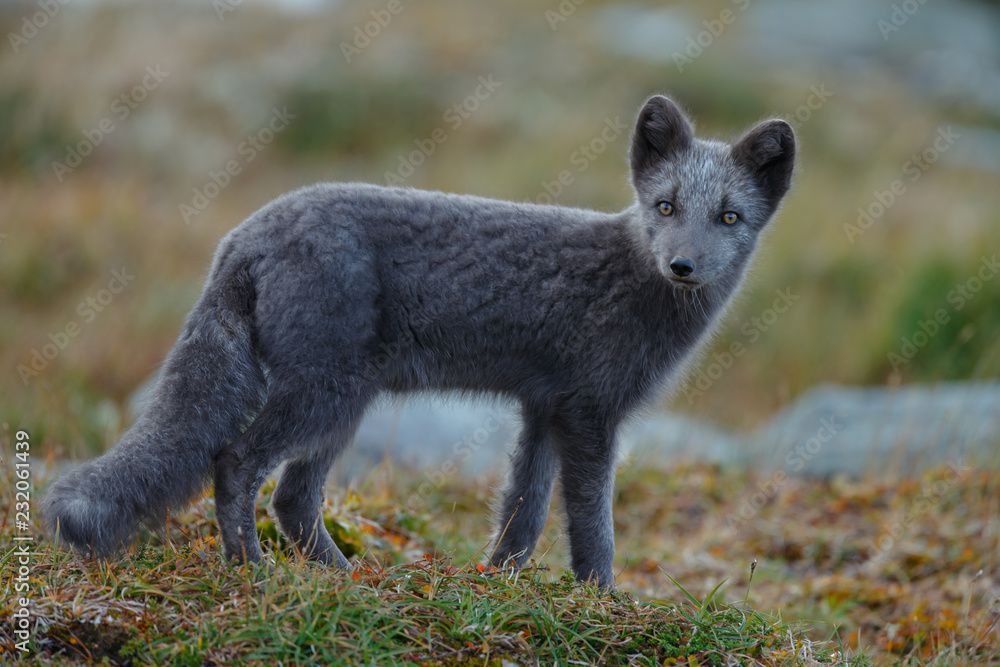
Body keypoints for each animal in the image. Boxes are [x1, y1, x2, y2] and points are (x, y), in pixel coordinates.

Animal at [42, 95, 795, 588]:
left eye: (729, 217)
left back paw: (348, 578)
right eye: (665, 206)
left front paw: (500, 586)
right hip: (327, 395)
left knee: (292, 498)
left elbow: (522, 514)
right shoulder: (590, 414)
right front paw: (600, 600)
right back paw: (253, 571)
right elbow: (591, 525)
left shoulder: (544, 409)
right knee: (235, 463)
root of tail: (241, 236)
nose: (683, 266)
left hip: (343, 405)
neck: (633, 278)